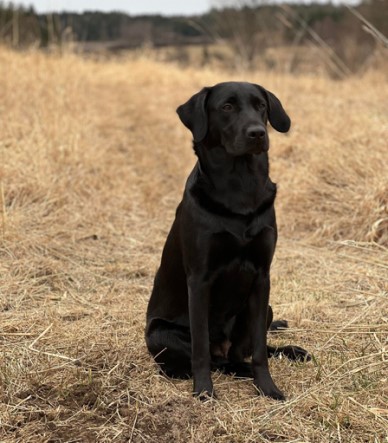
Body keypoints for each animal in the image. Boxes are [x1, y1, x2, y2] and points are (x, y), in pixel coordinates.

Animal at [146, 81, 310, 400]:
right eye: (227, 106)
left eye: (261, 106)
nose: (257, 133)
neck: (239, 187)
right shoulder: (199, 279)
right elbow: (200, 350)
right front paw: (203, 392)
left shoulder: (262, 276)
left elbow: (259, 349)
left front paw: (268, 388)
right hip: (161, 333)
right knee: (217, 360)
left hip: (265, 309)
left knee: (243, 352)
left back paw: (289, 352)